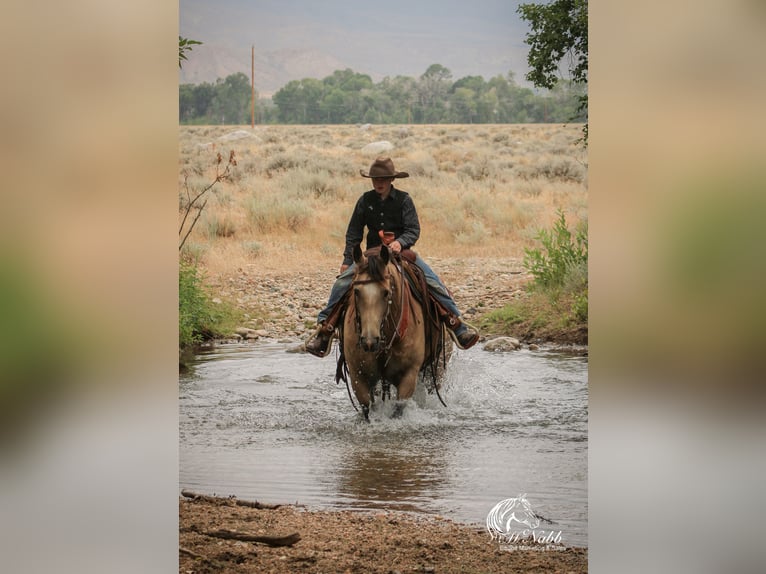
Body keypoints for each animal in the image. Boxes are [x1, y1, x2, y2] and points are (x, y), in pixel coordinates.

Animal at [336, 244, 450, 424]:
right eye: (356, 291)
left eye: (386, 292)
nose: (369, 341)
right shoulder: (358, 376)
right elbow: (367, 410)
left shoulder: (408, 375)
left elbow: (399, 410)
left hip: (436, 372)